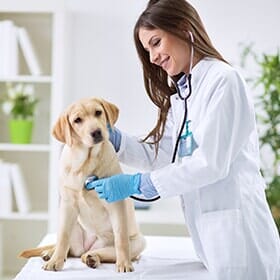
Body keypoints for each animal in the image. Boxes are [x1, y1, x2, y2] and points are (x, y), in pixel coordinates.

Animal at [19, 97, 145, 272]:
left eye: (98, 112)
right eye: (77, 120)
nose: (96, 132)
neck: (86, 161)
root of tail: (89, 246)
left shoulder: (116, 204)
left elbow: (121, 239)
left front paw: (124, 264)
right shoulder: (68, 204)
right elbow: (63, 237)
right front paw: (55, 261)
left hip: (138, 242)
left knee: (100, 253)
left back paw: (92, 258)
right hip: (72, 225)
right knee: (69, 249)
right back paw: (50, 253)